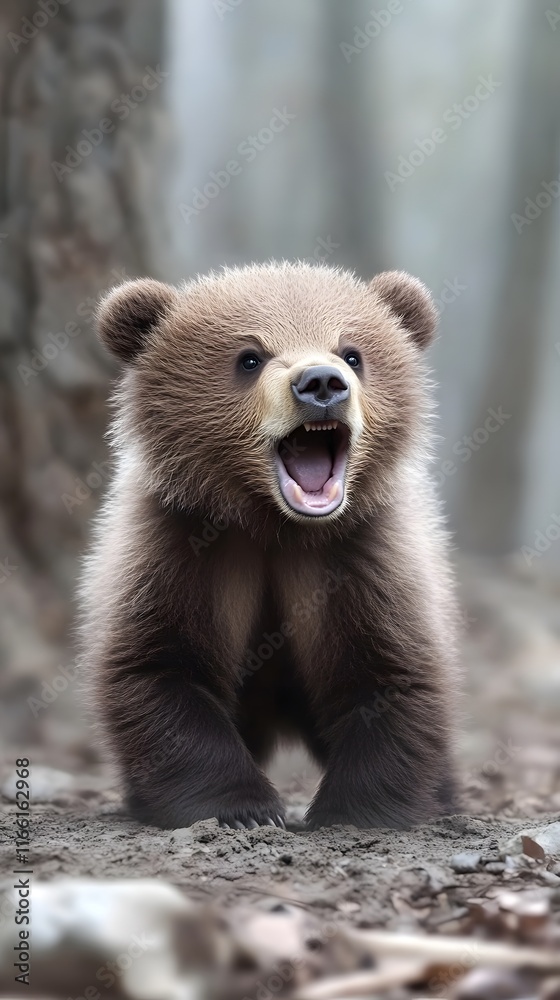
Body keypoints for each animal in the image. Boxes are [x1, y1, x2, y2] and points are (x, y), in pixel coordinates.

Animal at [81, 262, 459, 831]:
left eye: (352, 352)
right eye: (250, 357)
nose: (321, 383)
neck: (275, 527)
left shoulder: (362, 555)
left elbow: (392, 673)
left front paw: (356, 810)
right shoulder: (179, 549)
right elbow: (159, 666)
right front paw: (245, 810)